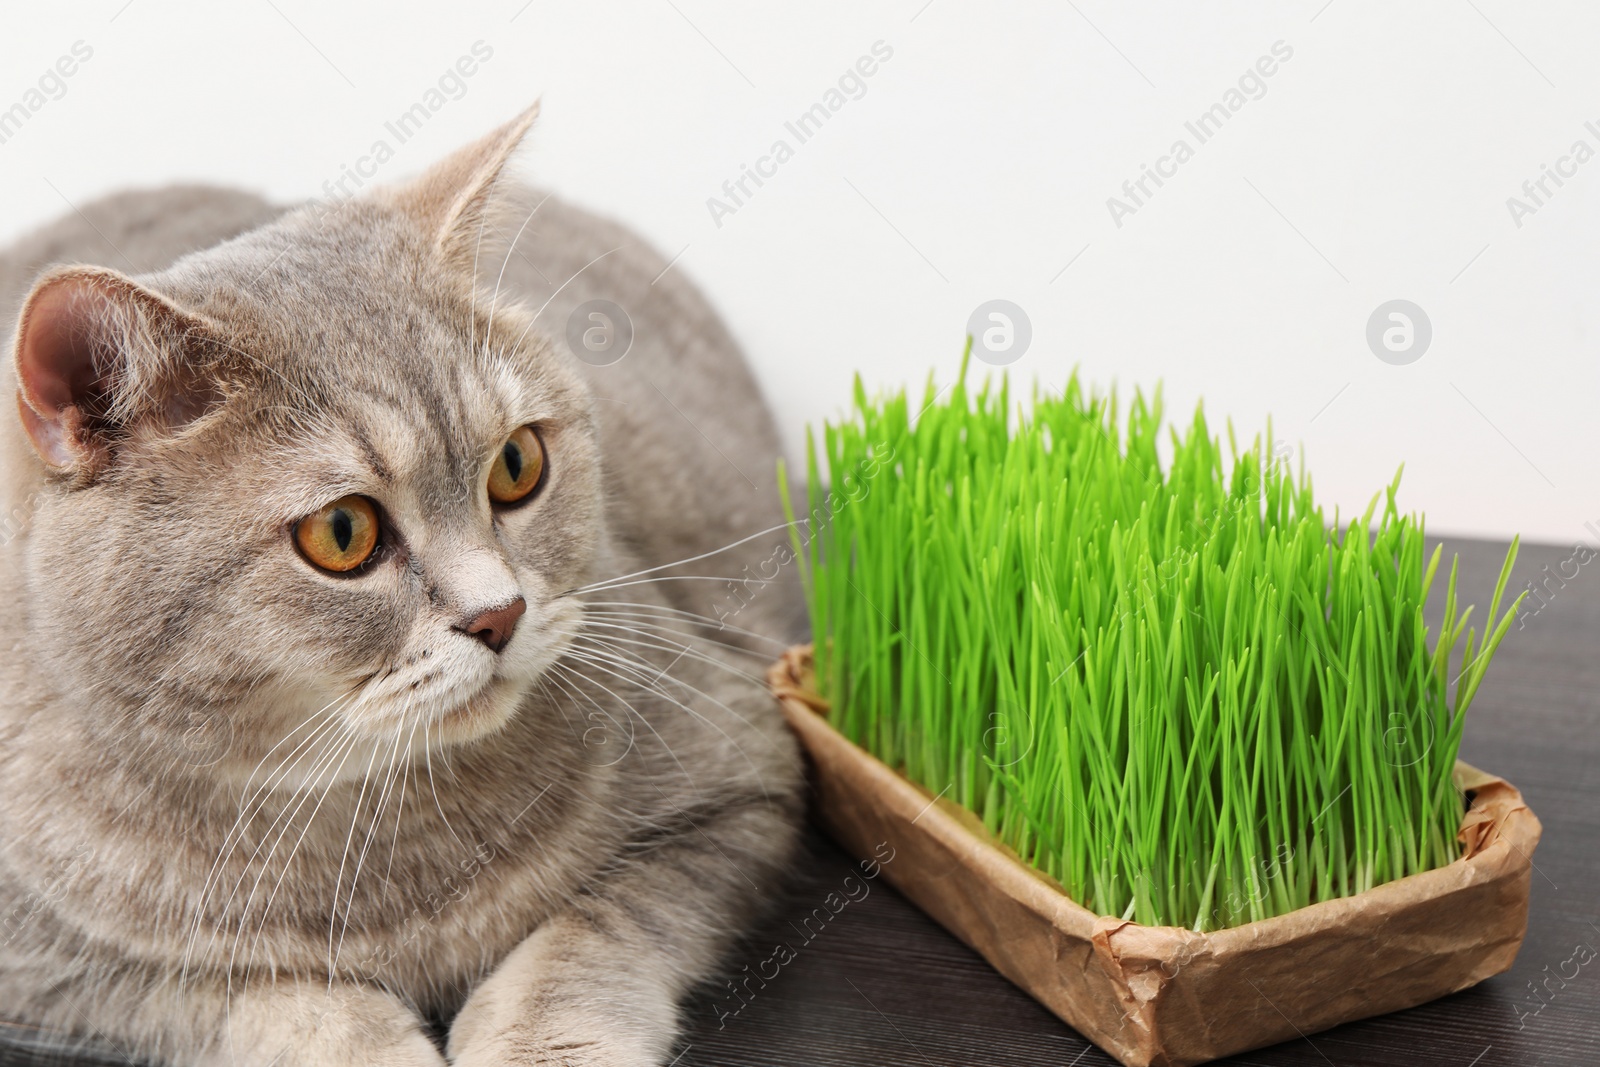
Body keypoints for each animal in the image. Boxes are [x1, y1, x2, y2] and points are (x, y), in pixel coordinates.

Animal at [0, 103, 800, 1062]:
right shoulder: (57, 965)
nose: (500, 613)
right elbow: (261, 993)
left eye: (518, 465)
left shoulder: (738, 784)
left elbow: (591, 927)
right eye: (343, 533)